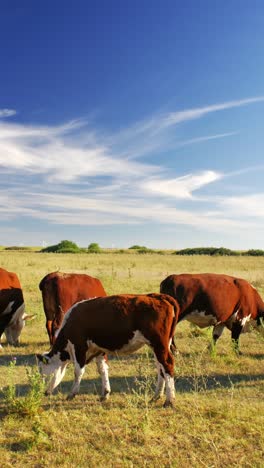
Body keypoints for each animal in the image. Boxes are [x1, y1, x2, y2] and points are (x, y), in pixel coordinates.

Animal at [36, 292, 179, 406]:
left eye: (42, 372)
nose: (43, 392)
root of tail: (157, 296)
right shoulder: (98, 349)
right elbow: (103, 370)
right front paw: (105, 393)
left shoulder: (79, 346)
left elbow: (78, 372)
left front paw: (72, 394)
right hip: (159, 346)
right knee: (160, 368)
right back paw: (156, 396)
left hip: (159, 344)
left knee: (167, 365)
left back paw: (169, 400)